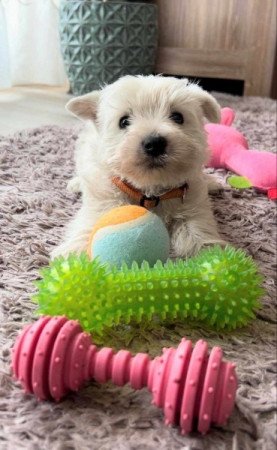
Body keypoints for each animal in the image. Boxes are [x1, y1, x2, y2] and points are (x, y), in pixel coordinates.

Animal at [51, 76, 224, 260]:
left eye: (178, 117)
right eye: (124, 121)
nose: (154, 144)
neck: (150, 192)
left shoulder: (192, 204)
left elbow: (196, 229)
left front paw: (211, 255)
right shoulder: (104, 198)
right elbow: (93, 221)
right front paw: (74, 258)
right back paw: (76, 183)